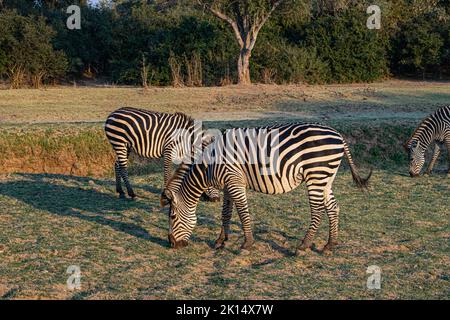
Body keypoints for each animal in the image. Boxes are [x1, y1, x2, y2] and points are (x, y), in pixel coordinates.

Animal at [160, 122, 370, 252]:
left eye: (172, 216)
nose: (171, 244)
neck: (209, 165)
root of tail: (338, 135)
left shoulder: (234, 180)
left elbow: (242, 212)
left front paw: (247, 243)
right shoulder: (228, 184)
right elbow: (226, 213)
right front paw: (221, 241)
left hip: (316, 174)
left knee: (317, 211)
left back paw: (304, 245)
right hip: (326, 177)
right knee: (333, 207)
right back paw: (330, 244)